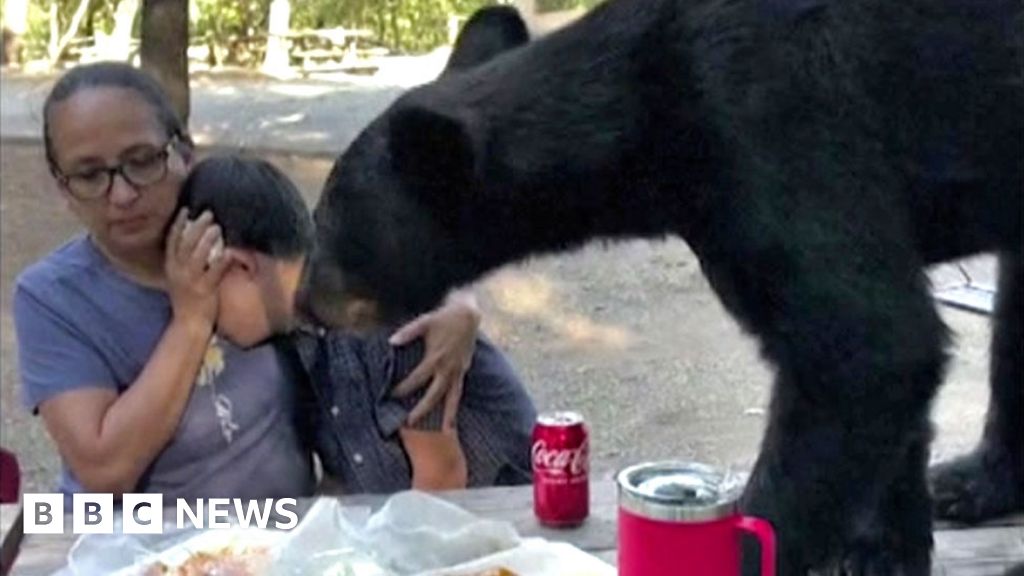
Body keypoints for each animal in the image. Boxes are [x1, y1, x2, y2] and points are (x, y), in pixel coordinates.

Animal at [300, 0, 1022, 573]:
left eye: (329, 222)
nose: (305, 304)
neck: (650, 121)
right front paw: (882, 546)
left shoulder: (776, 131)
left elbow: (864, 341)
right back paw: (973, 483)